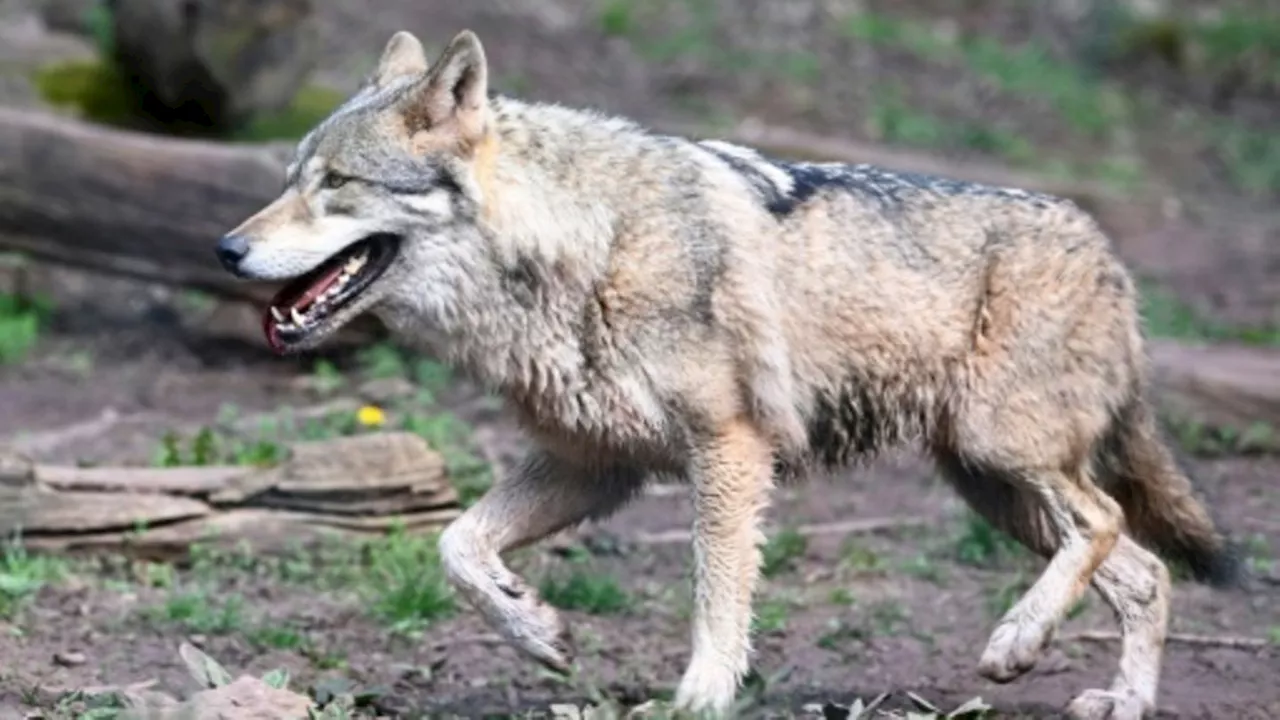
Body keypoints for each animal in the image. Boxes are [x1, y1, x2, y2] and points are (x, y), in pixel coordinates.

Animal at [217, 29, 1239, 717]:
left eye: (336, 185)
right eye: (291, 176)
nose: (227, 248)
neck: (586, 250)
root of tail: (1111, 256)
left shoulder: (730, 450)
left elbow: (718, 593)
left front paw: (702, 696)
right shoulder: (596, 464)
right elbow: (456, 546)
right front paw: (539, 631)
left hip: (1006, 460)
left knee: (1107, 526)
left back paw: (1015, 644)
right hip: (994, 488)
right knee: (1147, 571)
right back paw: (1117, 698)